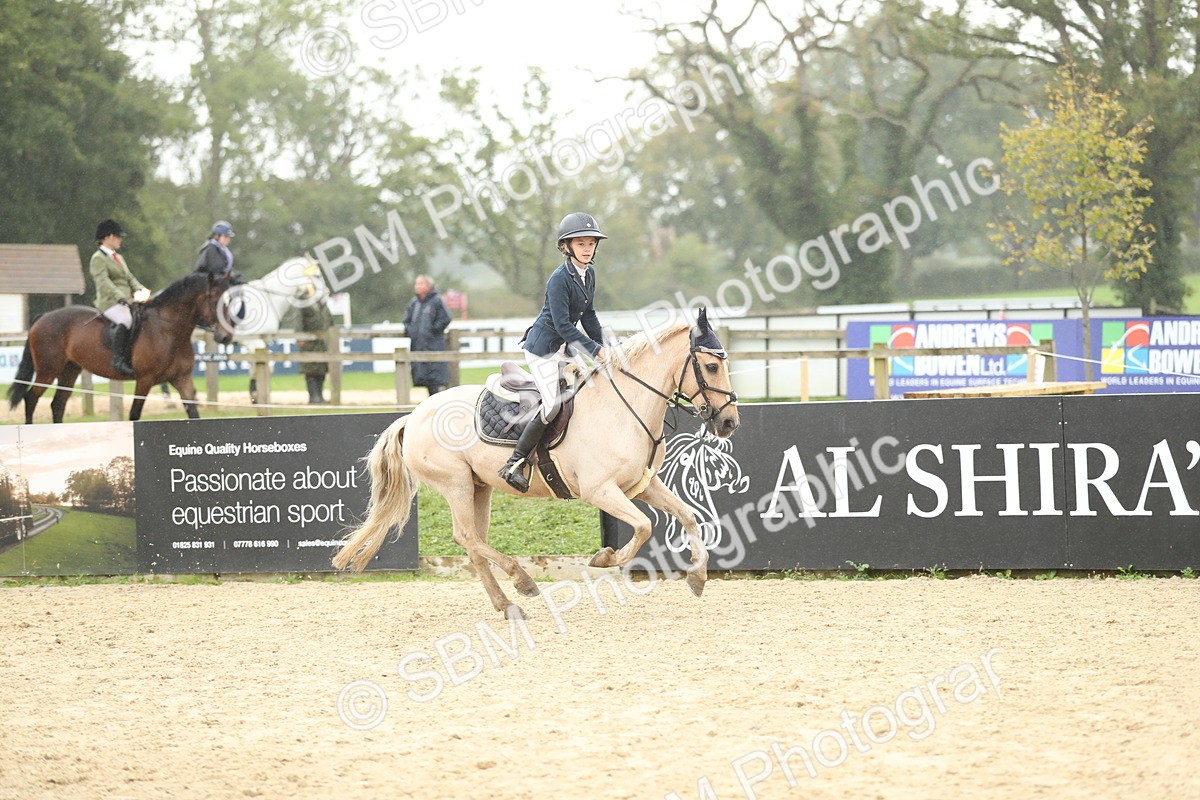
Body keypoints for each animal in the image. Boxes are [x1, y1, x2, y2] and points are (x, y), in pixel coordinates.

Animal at [7, 271, 237, 423]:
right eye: (215, 300)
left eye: (230, 300)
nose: (225, 337)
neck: (169, 330)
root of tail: (42, 317)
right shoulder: (145, 380)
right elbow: (135, 414)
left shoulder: (182, 379)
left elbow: (193, 412)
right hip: (48, 370)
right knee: (31, 398)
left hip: (70, 370)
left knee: (57, 404)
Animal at [333, 309, 741, 619]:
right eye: (710, 366)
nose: (729, 423)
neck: (626, 407)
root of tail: (414, 415)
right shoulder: (600, 491)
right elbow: (642, 527)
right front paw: (605, 558)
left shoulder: (641, 485)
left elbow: (687, 516)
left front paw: (697, 577)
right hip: (455, 483)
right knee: (466, 537)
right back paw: (522, 580)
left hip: (479, 487)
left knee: (474, 542)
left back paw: (507, 605)